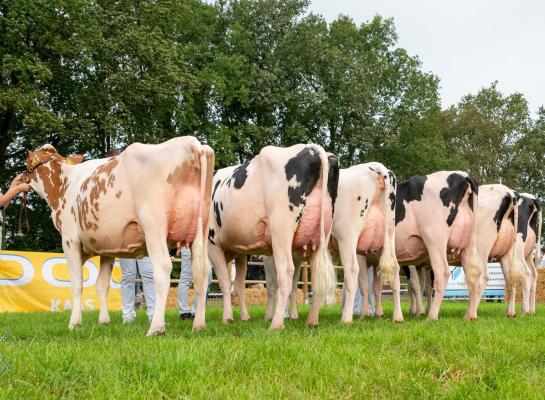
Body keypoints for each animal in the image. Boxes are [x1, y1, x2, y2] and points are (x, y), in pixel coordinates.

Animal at [25, 138, 212, 334]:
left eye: (26, 164)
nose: (22, 178)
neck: (64, 183)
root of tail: (192, 143)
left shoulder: (69, 240)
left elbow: (77, 284)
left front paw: (74, 322)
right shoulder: (107, 248)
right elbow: (101, 285)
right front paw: (104, 320)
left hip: (154, 228)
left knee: (162, 269)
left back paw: (156, 327)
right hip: (202, 229)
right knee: (203, 272)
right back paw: (199, 324)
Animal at [207, 143, 338, 328]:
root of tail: (312, 148)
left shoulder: (212, 244)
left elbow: (224, 282)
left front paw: (227, 318)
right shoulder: (241, 253)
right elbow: (239, 284)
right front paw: (244, 317)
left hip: (281, 230)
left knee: (286, 272)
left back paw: (276, 324)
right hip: (321, 235)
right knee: (317, 276)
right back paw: (312, 320)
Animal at [262, 162, 402, 324]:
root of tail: (377, 167)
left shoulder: (271, 254)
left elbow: (273, 286)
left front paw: (270, 316)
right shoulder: (296, 256)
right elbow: (292, 284)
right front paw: (293, 315)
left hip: (347, 235)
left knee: (352, 271)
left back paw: (346, 318)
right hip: (389, 235)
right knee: (395, 271)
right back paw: (397, 317)